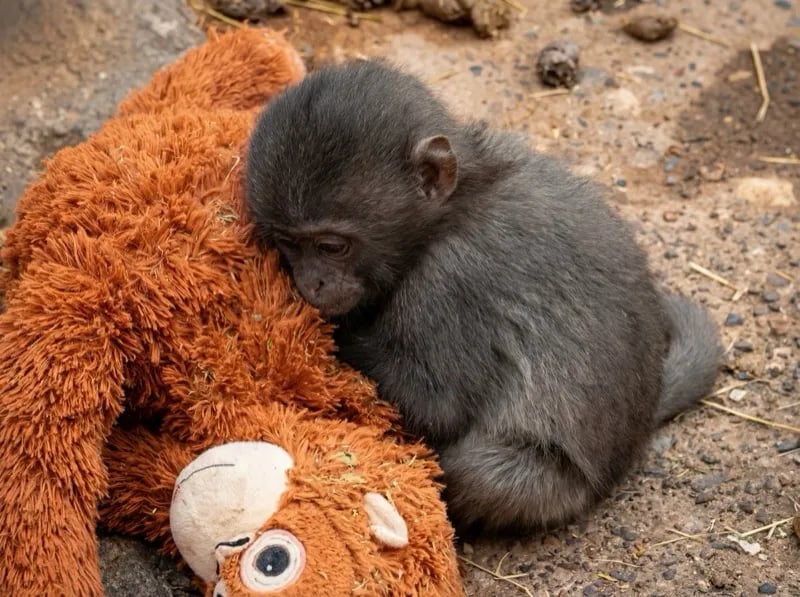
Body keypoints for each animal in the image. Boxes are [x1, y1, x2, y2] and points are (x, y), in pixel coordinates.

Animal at [244, 59, 722, 535]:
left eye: (331, 246)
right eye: (288, 244)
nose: (311, 283)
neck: (458, 206)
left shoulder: (451, 279)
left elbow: (434, 404)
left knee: (476, 472)